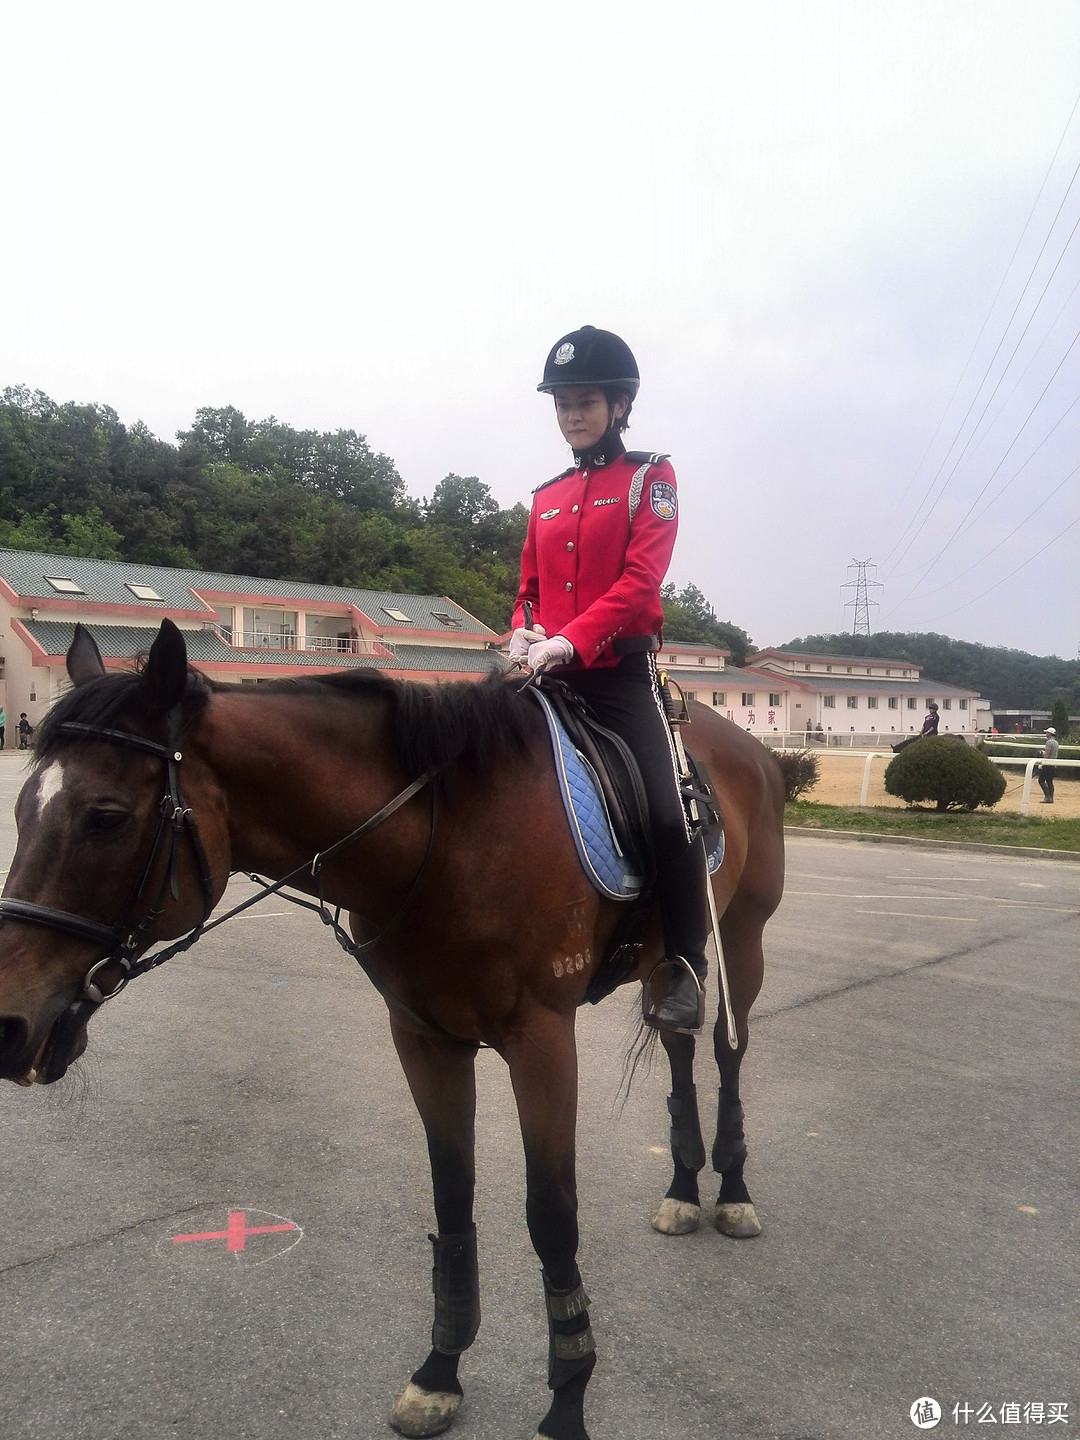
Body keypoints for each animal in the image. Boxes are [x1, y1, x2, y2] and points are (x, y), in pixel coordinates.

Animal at [0, 619, 783, 1440]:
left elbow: (551, 1213)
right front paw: (440, 1371)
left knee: (726, 1048)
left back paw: (731, 1189)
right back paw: (683, 1187)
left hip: (743, 939)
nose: (8, 1023)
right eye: (20, 811)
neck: (449, 832)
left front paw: (568, 1394)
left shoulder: (543, 1042)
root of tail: (749, 748)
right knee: (679, 1044)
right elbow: (452, 1199)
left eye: (107, 817)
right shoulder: (423, 1039)